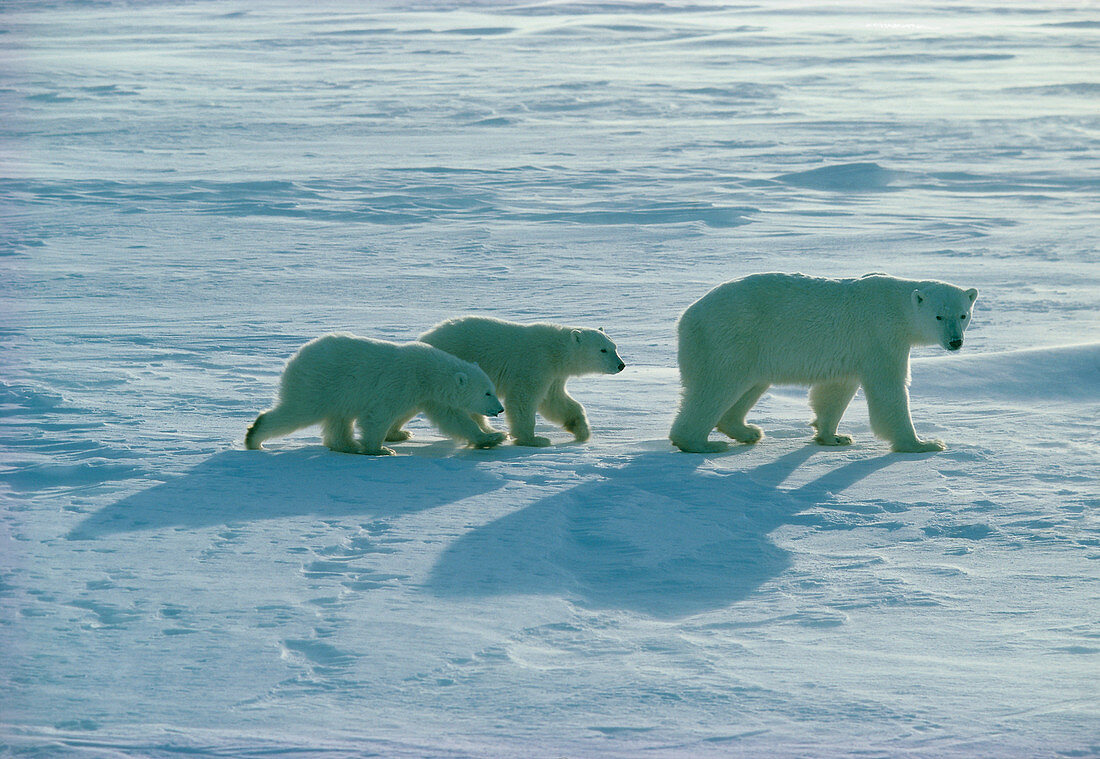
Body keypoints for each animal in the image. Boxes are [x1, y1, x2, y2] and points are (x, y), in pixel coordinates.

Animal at [668, 270, 981, 448]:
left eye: (963, 315)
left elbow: (835, 390)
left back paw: (747, 431)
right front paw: (923, 443)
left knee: (749, 385)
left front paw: (834, 437)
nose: (955, 342)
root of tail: (688, 315)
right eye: (938, 316)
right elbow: (889, 389)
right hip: (730, 338)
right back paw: (699, 442)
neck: (897, 306)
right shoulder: (881, 336)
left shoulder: (854, 349)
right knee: (716, 386)